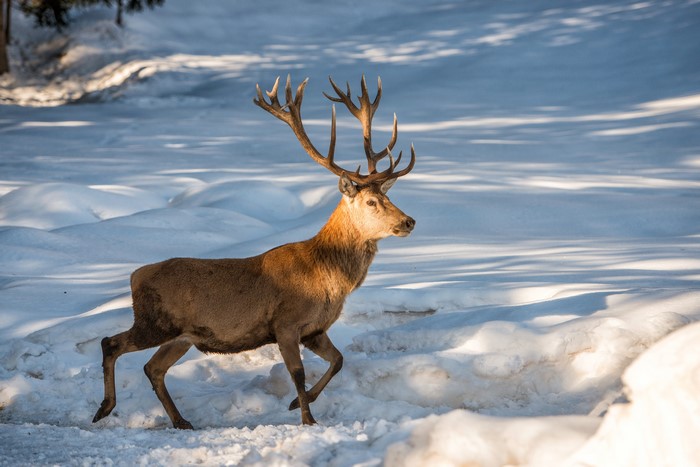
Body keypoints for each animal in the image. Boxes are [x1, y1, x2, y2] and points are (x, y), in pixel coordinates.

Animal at [92, 75, 416, 430]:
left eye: (388, 198)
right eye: (371, 202)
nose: (408, 221)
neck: (327, 277)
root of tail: (135, 276)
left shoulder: (315, 330)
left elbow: (339, 360)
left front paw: (296, 403)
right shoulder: (286, 323)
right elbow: (297, 373)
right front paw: (307, 418)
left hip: (181, 336)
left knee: (153, 367)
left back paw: (180, 421)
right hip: (154, 321)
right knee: (111, 343)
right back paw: (105, 408)